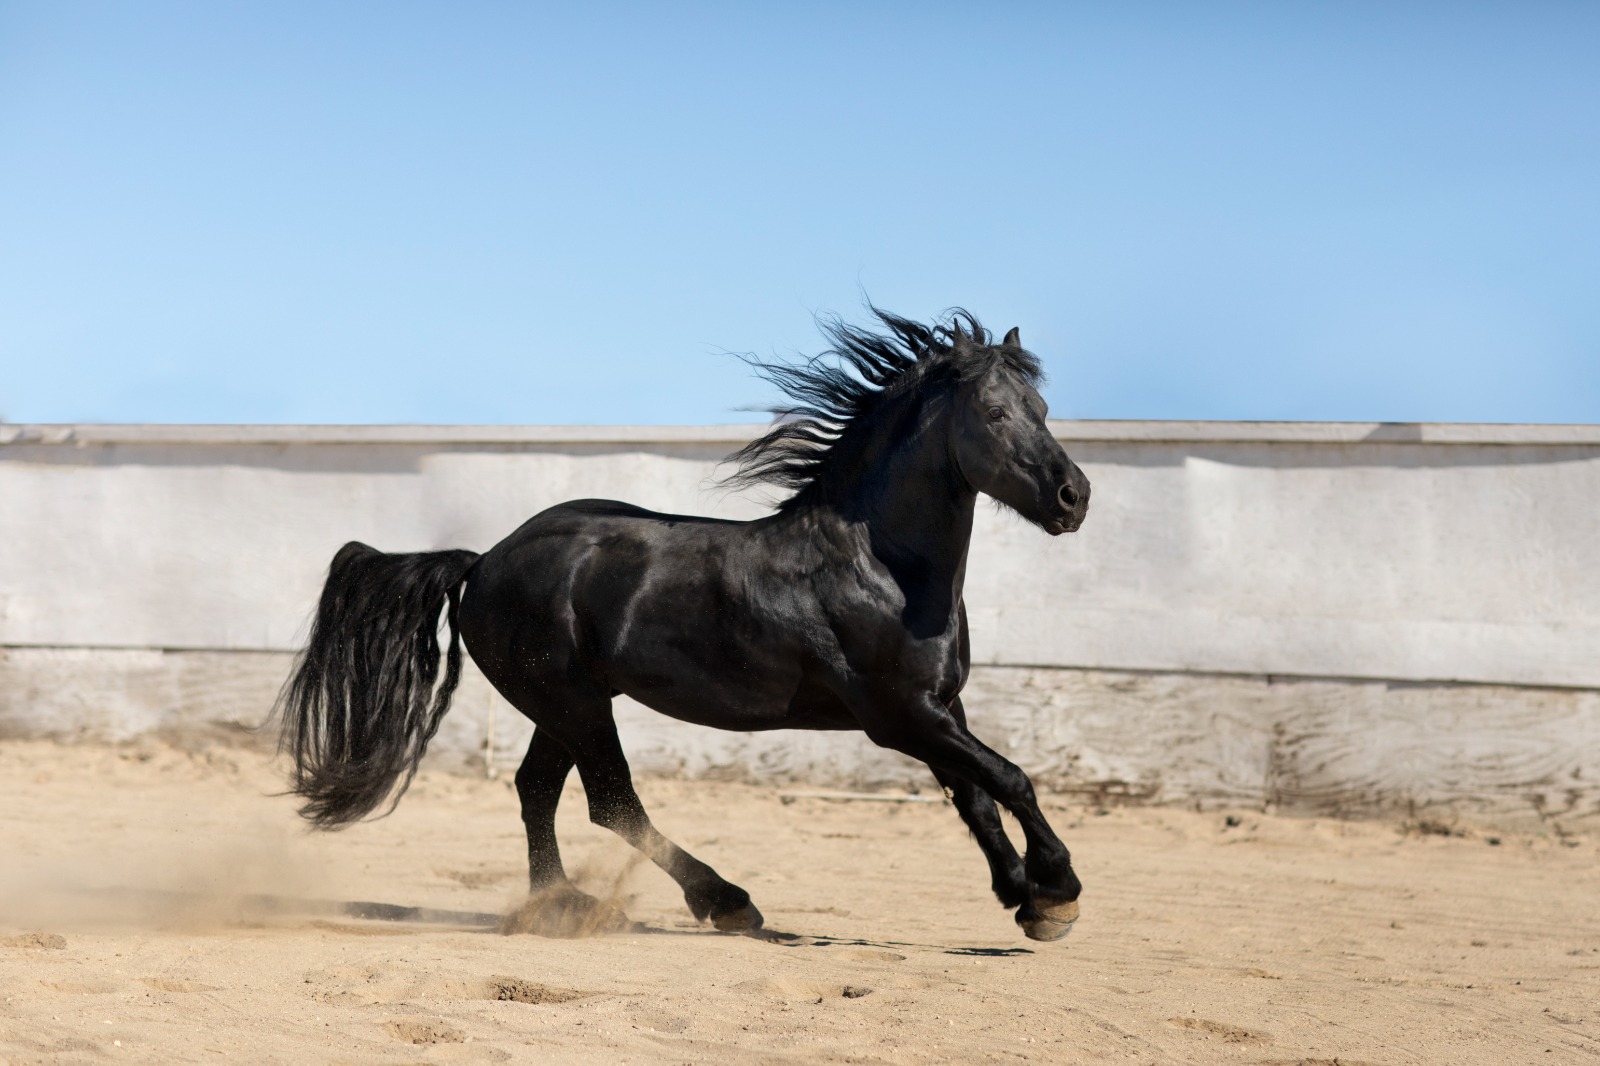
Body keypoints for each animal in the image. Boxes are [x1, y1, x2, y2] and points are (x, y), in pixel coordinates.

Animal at [281, 307, 1094, 941]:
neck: (881, 568)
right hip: (573, 702)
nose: (1073, 496)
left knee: (536, 789)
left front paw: (1024, 900)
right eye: (995, 414)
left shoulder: (940, 708)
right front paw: (1057, 889)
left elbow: (977, 797)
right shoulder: (898, 717)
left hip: (564, 704)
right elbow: (1011, 778)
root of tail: (482, 563)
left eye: (1044, 410)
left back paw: (558, 905)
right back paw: (723, 901)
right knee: (611, 802)